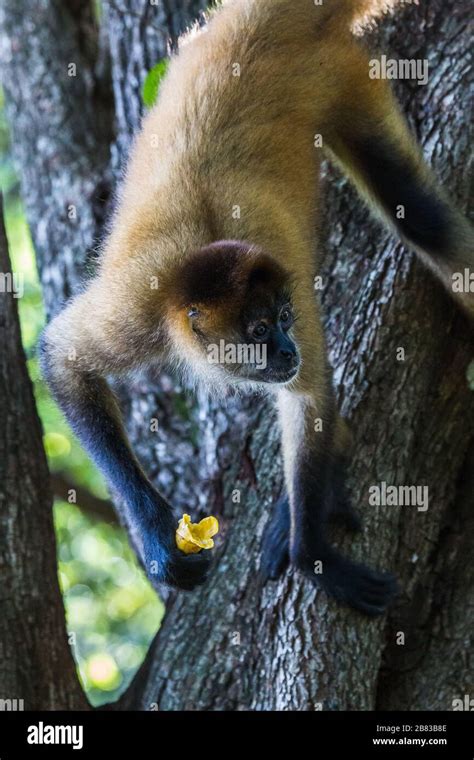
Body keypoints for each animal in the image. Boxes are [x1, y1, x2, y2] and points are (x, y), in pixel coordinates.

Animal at [40, 0, 474, 616]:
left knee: (420, 217)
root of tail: (259, 21)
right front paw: (159, 540)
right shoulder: (140, 304)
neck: (192, 263)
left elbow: (309, 396)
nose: (288, 351)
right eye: (261, 329)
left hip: (338, 75)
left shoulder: (279, 281)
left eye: (284, 321)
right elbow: (64, 357)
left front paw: (312, 557)